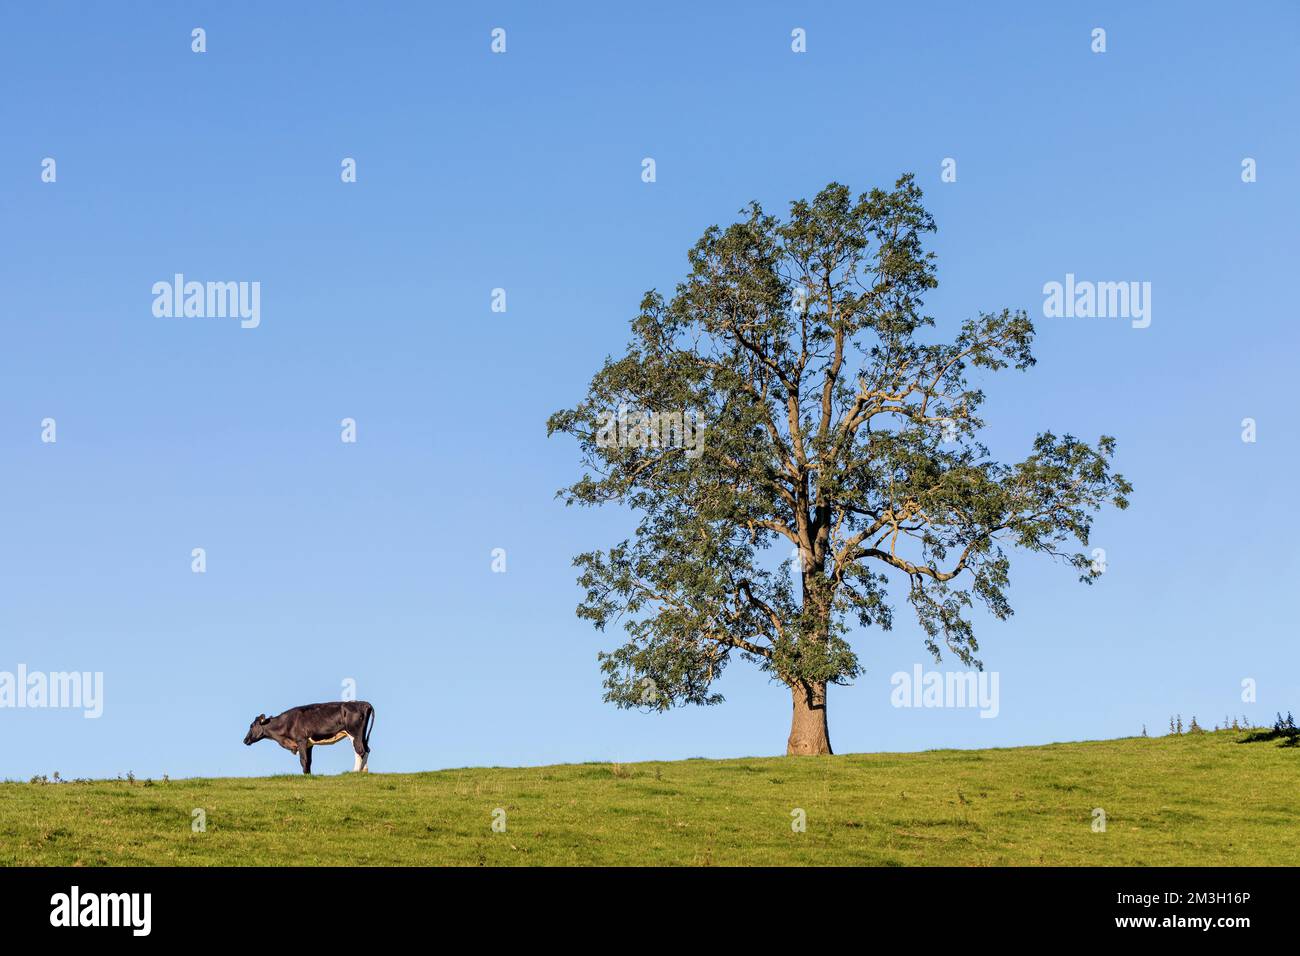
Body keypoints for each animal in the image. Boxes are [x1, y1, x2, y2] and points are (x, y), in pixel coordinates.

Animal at [244, 697, 377, 775]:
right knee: (366, 749)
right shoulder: (309, 744)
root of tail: (363, 703)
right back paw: (364, 771)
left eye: (251, 725)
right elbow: (309, 761)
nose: (245, 740)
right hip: (361, 734)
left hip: (354, 732)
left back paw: (355, 772)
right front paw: (308, 775)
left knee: (360, 750)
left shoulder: (301, 740)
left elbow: (303, 760)